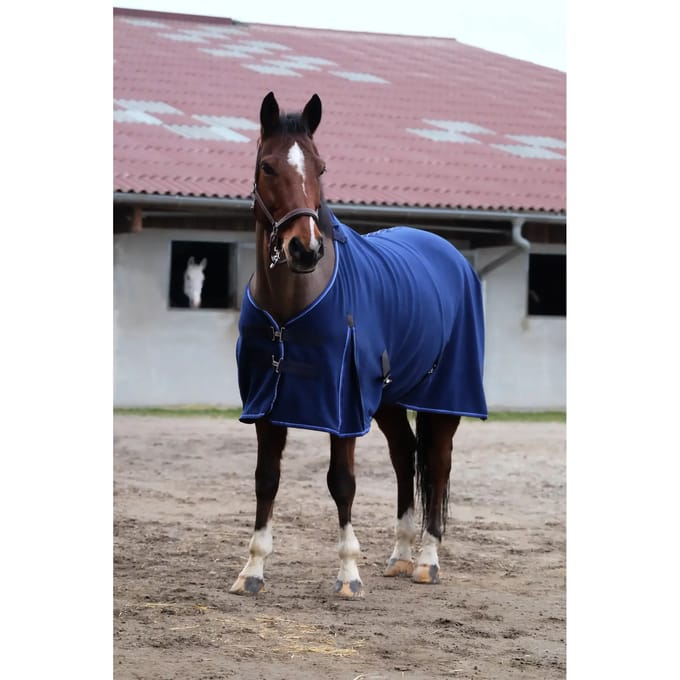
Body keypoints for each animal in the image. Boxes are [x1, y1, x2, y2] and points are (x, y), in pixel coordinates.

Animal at [229, 92, 487, 599]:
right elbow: (266, 480)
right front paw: (252, 570)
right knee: (405, 457)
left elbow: (342, 482)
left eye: (321, 167)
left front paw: (349, 573)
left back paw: (427, 560)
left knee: (438, 462)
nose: (305, 249)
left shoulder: (342, 407)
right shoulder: (266, 405)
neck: (290, 309)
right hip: (388, 398)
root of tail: (451, 255)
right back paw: (400, 555)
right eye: (267, 166)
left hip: (446, 397)